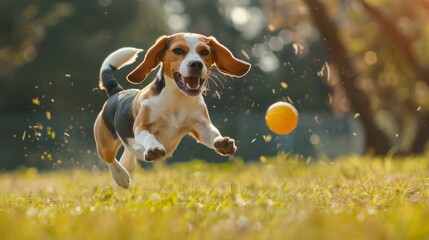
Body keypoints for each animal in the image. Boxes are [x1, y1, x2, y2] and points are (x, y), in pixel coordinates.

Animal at [92, 32, 249, 188]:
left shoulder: (201, 126)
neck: (177, 98)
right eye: (178, 51)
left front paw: (222, 142)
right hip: (105, 145)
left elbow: (213, 133)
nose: (196, 64)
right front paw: (153, 148)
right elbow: (149, 136)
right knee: (110, 160)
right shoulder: (141, 127)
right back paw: (121, 177)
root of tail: (117, 91)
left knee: (128, 156)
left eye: (205, 52)